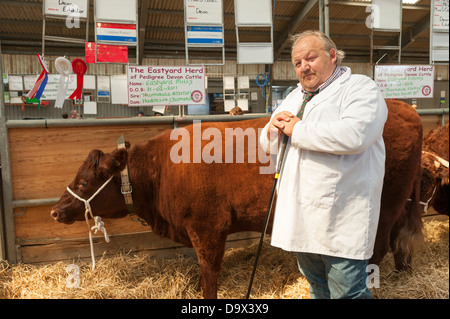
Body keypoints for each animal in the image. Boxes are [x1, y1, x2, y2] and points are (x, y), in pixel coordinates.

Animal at [50, 100, 422, 300]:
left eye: (83, 181)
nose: (55, 211)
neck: (162, 169)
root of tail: (403, 107)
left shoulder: (208, 228)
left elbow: (209, 271)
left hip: (383, 207)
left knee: (376, 249)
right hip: (398, 205)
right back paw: (404, 270)